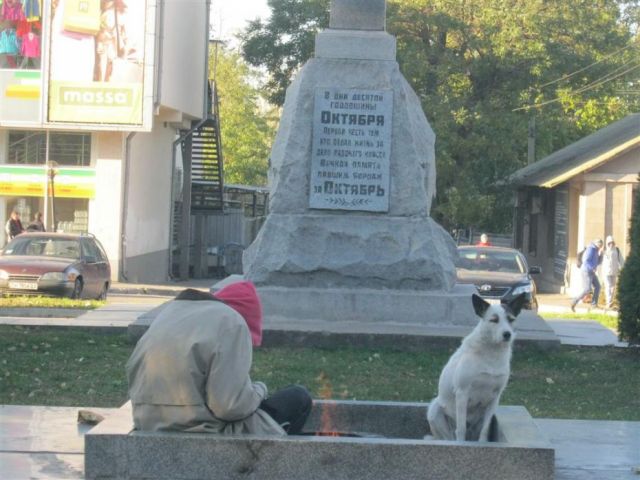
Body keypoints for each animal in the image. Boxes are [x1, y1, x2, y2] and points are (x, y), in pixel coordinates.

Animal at [424, 292, 524, 442]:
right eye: (494, 320)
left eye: (511, 319)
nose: (507, 334)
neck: (492, 354)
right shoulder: (462, 393)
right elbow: (461, 428)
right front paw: (461, 444)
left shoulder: (495, 397)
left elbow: (485, 429)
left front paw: (482, 443)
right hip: (435, 410)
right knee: (451, 435)